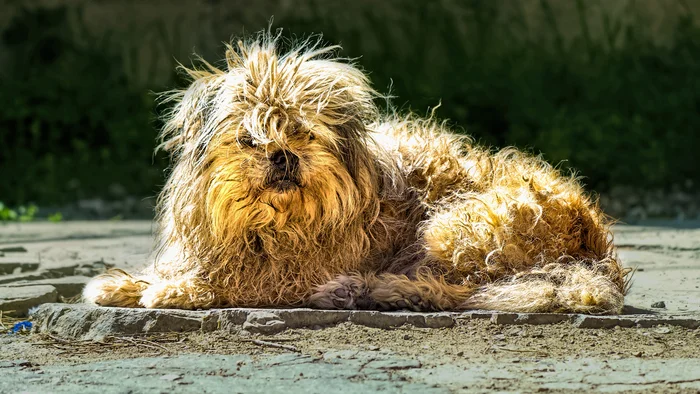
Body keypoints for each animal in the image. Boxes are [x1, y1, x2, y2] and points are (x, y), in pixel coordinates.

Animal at [82, 32, 628, 314]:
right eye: (249, 139)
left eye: (304, 133)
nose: (282, 155)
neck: (268, 223)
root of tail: (596, 251)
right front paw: (130, 283)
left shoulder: (289, 272)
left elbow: (236, 279)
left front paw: (178, 290)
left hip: (454, 226)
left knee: (463, 292)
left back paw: (372, 289)